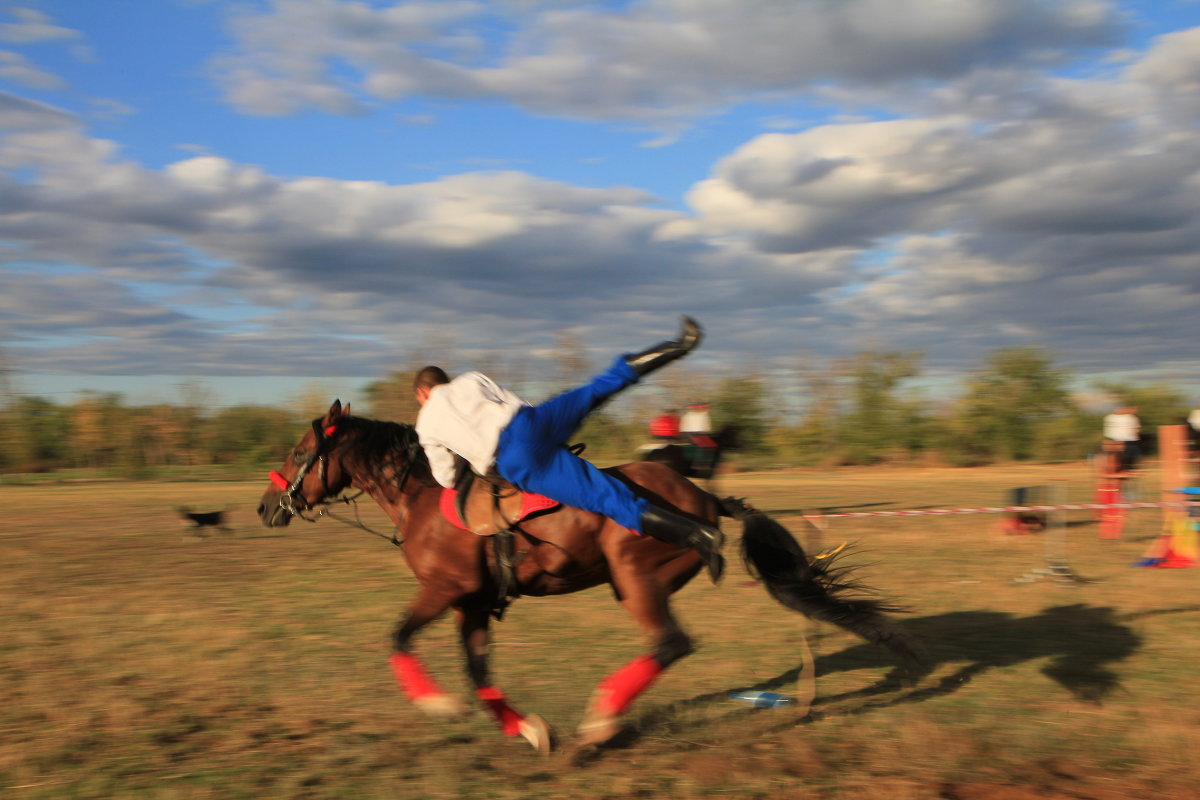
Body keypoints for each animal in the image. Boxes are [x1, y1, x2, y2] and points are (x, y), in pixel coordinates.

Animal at [258, 402, 921, 753]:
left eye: (299, 452)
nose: (267, 508)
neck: (426, 496)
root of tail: (705, 500)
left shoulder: (444, 592)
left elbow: (398, 639)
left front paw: (437, 705)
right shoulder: (472, 603)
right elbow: (479, 675)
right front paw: (529, 731)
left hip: (634, 575)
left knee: (670, 641)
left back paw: (601, 720)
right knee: (668, 643)